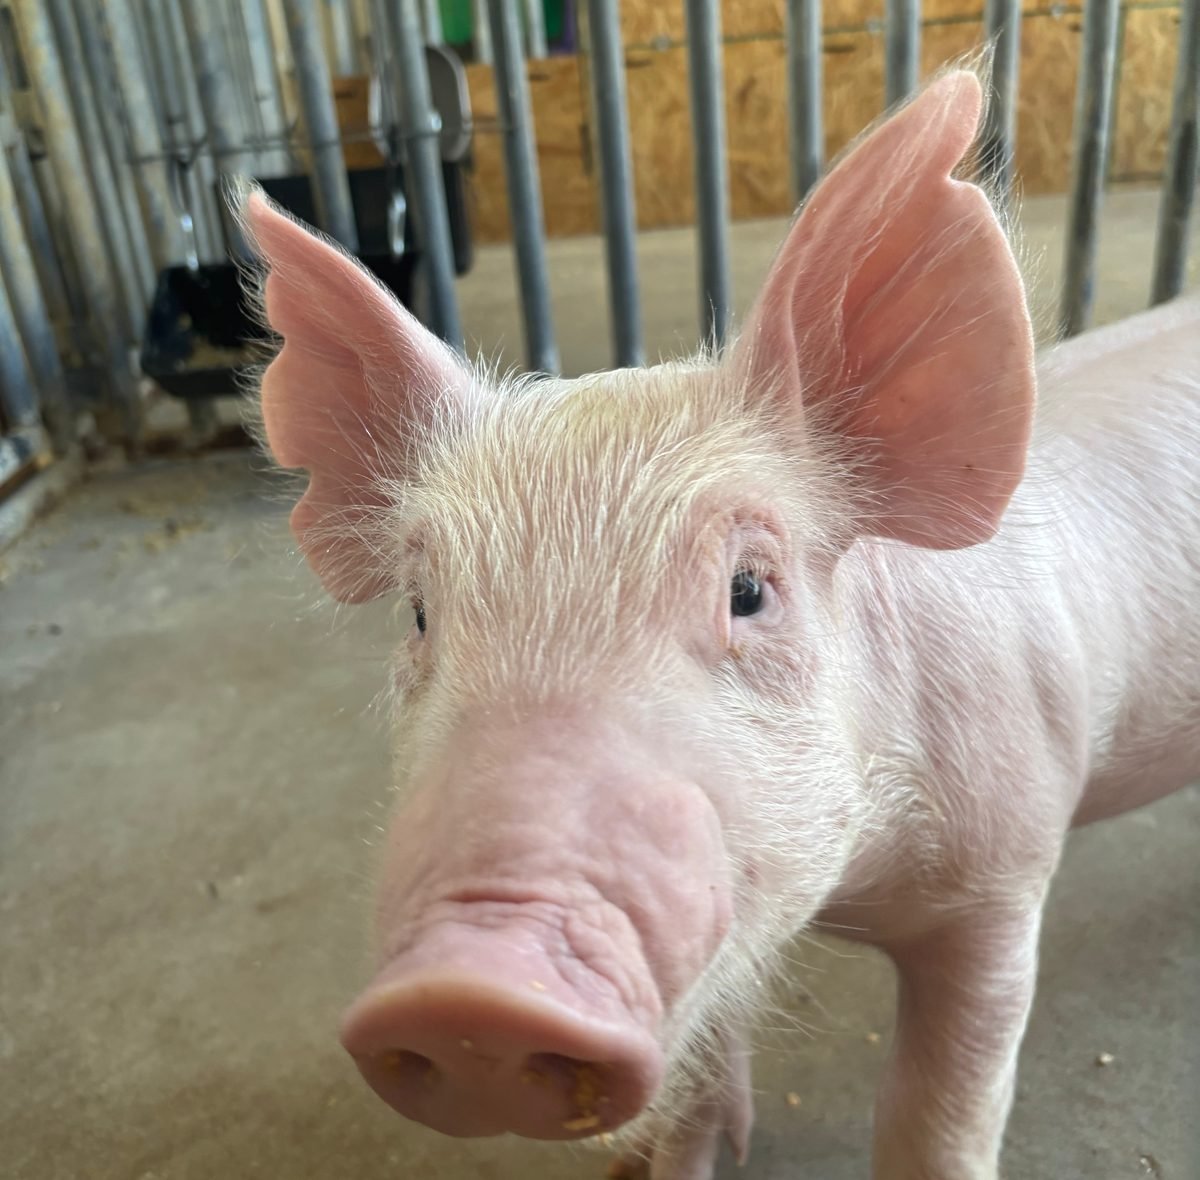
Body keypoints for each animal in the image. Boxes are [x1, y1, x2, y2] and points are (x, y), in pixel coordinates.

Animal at [232, 63, 1200, 1180]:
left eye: (748, 588)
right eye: (422, 612)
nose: (467, 992)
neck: (855, 887)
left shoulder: (1006, 868)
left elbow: (939, 1108)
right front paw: (656, 1161)